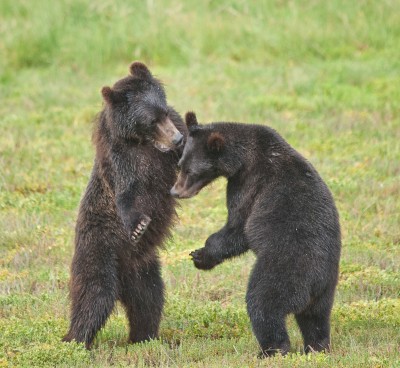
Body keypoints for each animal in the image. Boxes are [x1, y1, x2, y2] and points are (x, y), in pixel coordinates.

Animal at [63, 62, 188, 348]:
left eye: (164, 112)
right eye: (151, 120)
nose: (176, 139)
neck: (143, 143)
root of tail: (123, 278)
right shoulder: (121, 160)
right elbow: (127, 194)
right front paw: (138, 224)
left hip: (143, 270)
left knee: (149, 301)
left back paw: (144, 337)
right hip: (98, 250)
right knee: (93, 296)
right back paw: (75, 340)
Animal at [170, 112, 342, 356]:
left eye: (190, 171)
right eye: (180, 164)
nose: (175, 191)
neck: (241, 159)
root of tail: (315, 281)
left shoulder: (248, 184)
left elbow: (238, 227)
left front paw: (201, 255)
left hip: (284, 271)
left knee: (263, 303)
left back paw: (271, 350)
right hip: (326, 292)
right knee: (315, 319)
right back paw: (316, 347)